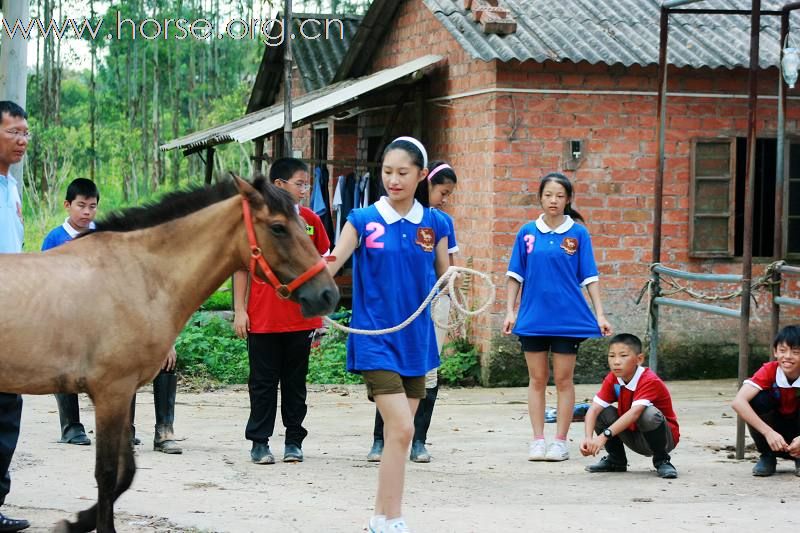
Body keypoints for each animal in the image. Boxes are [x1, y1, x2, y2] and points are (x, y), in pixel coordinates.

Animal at [0, 174, 338, 528]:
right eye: (278, 228)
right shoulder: (111, 393)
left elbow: (126, 475)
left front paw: (77, 520)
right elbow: (107, 475)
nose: (328, 294)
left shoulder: (124, 393)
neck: (137, 275)